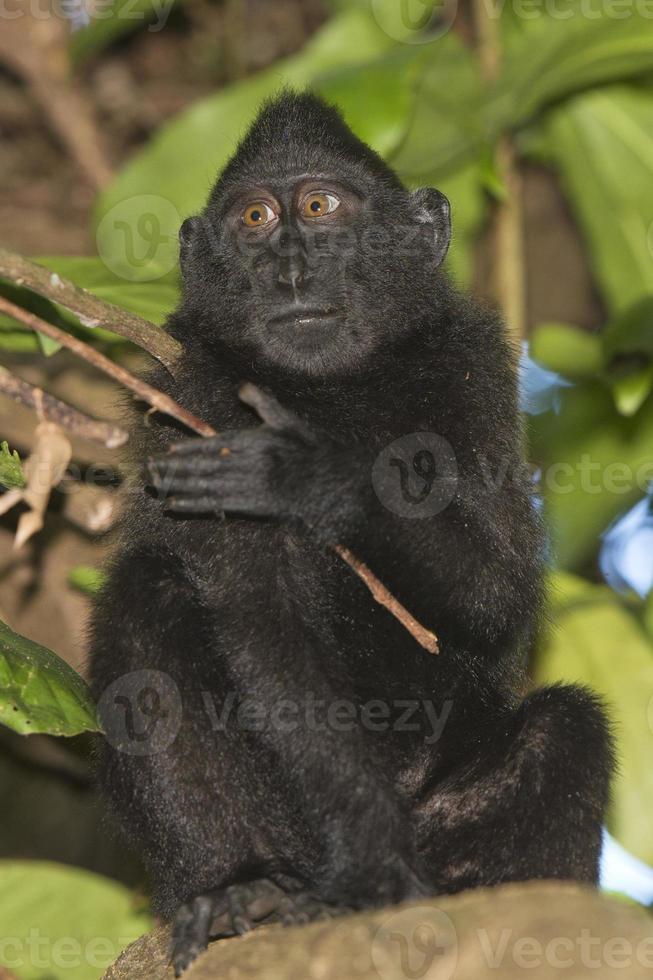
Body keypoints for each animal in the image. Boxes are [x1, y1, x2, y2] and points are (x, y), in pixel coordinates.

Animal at [89, 90, 612, 972]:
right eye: (255, 217)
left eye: (320, 208)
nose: (291, 271)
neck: (333, 391)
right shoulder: (199, 395)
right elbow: (265, 627)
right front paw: (369, 864)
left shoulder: (475, 367)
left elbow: (500, 596)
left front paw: (310, 474)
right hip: (287, 833)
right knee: (148, 593)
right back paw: (239, 891)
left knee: (563, 728)